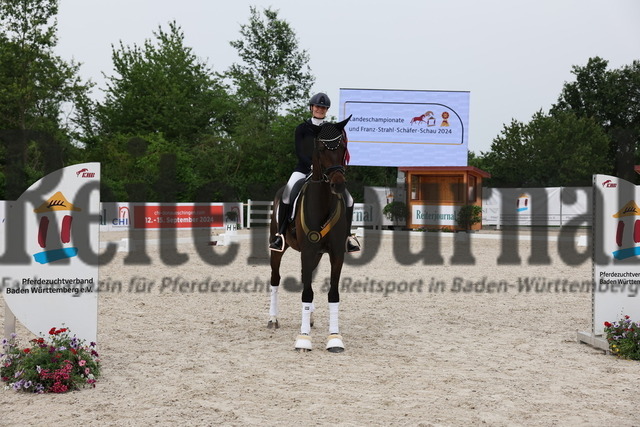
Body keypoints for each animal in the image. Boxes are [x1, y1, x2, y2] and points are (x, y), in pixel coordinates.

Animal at [268, 116, 352, 352]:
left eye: (343, 147)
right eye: (321, 148)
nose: (338, 184)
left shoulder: (336, 254)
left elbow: (332, 294)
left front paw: (335, 338)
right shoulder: (307, 251)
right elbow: (306, 292)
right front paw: (303, 339)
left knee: (309, 278)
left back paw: (311, 318)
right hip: (278, 248)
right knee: (275, 279)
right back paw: (273, 319)